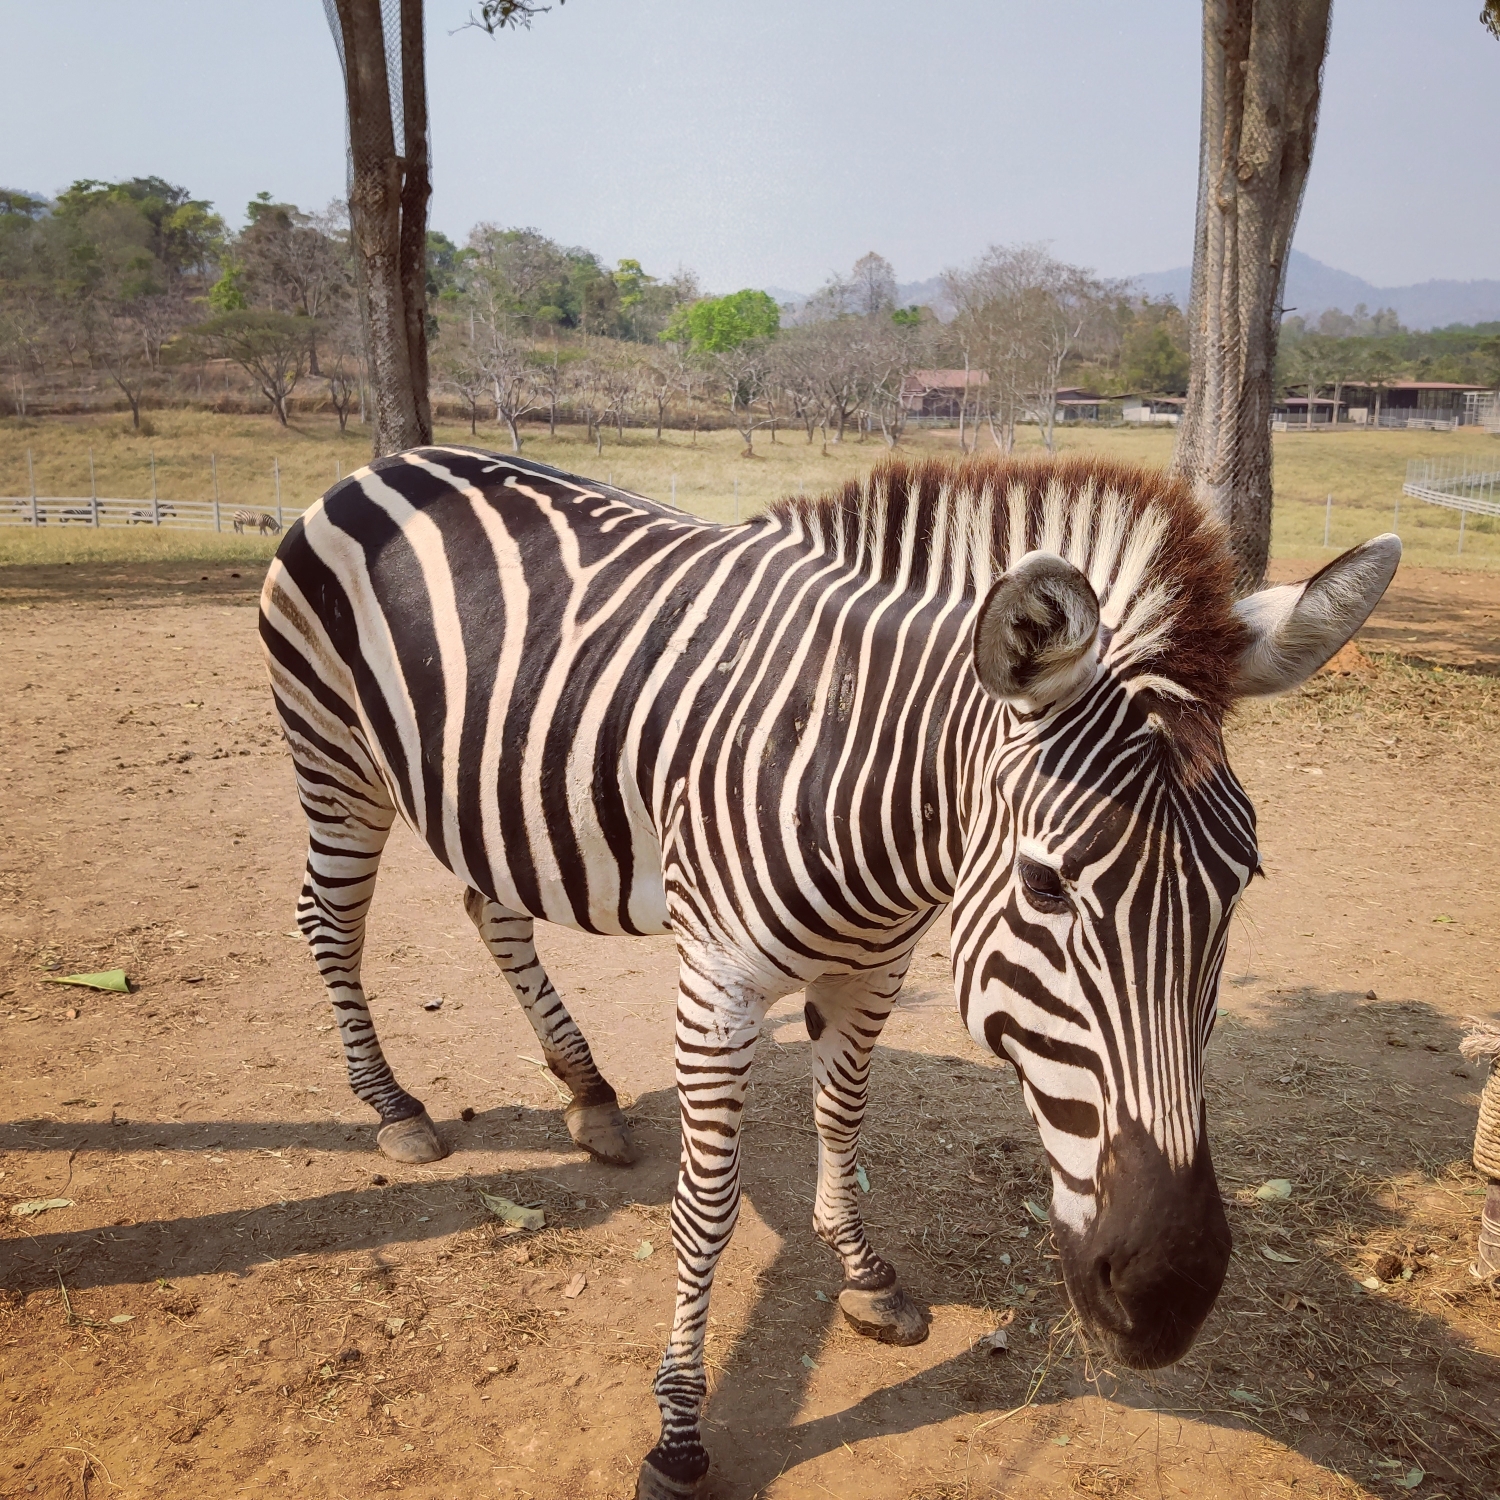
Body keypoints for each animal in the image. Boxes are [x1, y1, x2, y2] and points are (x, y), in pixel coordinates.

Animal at [261, 447, 1404, 1500]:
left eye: (1243, 882)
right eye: (1044, 885)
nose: (1169, 1296)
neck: (868, 778)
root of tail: (393, 459)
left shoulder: (874, 968)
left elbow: (844, 1124)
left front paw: (864, 1274)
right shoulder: (715, 988)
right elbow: (708, 1208)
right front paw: (678, 1431)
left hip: (480, 792)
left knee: (489, 908)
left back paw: (586, 1092)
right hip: (336, 761)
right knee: (328, 921)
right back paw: (393, 1105)